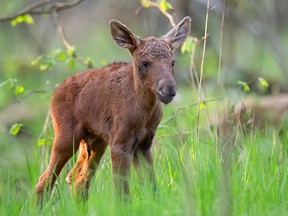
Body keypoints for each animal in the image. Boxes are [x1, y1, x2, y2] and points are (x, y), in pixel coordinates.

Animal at [35, 16, 191, 202]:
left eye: (173, 62)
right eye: (144, 63)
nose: (169, 89)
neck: (145, 113)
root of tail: (54, 92)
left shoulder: (144, 144)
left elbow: (152, 187)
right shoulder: (120, 144)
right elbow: (122, 192)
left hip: (95, 141)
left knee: (78, 179)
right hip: (66, 137)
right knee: (45, 180)